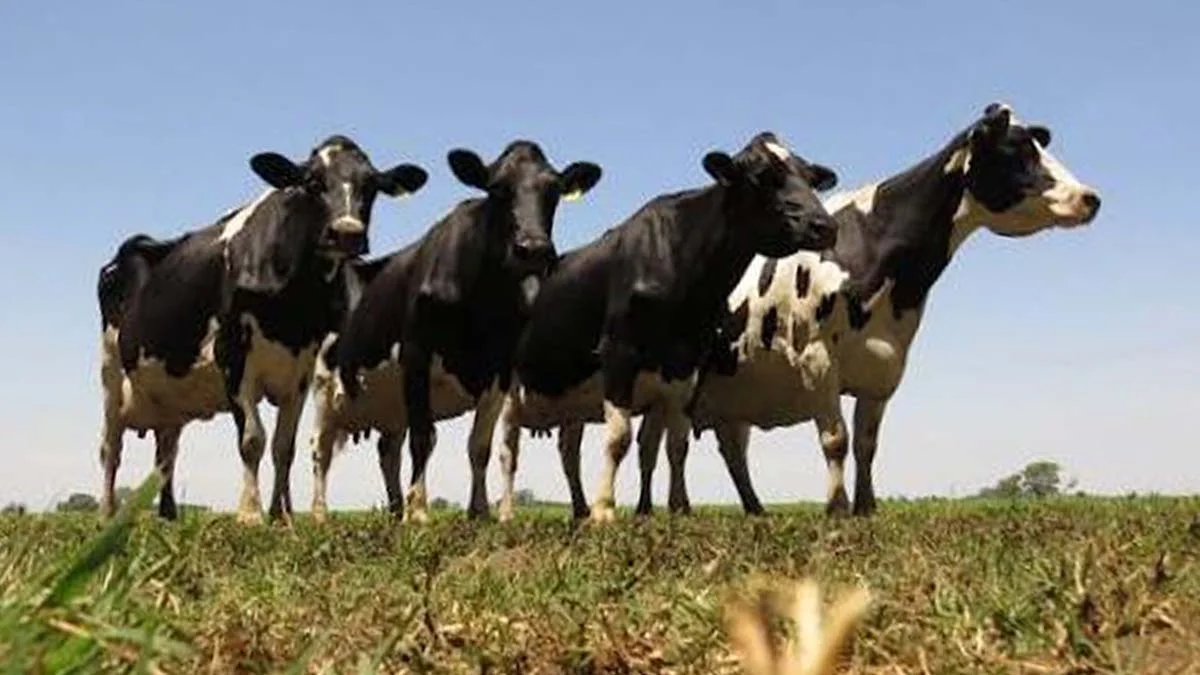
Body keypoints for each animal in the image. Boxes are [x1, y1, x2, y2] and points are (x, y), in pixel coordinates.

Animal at [96, 135, 428, 523]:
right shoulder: (232, 354)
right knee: (110, 447)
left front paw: (281, 516)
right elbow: (253, 439)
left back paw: (168, 514)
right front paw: (251, 514)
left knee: (166, 449)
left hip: (168, 390)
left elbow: (284, 446)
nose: (347, 232)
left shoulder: (301, 369)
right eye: (312, 182)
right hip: (110, 371)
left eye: (372, 185)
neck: (292, 308)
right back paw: (106, 513)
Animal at [306, 140, 602, 523]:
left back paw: (395, 511)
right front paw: (419, 512)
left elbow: (479, 446)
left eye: (554, 192)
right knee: (320, 450)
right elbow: (423, 438)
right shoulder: (416, 355)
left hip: (391, 406)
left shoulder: (500, 371)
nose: (533, 249)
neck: (482, 304)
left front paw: (479, 512)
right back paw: (321, 514)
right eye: (497, 189)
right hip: (323, 388)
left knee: (388, 451)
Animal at [494, 131, 841, 523]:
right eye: (761, 176)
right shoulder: (618, 352)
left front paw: (678, 508)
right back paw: (507, 512)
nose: (824, 226)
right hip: (508, 387)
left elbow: (676, 445)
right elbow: (618, 437)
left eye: (810, 177)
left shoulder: (685, 365)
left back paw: (579, 511)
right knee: (507, 450)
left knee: (568, 450)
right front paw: (605, 510)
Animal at [626, 102, 1103, 517]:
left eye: (1038, 144)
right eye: (1014, 150)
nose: (1090, 198)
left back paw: (750, 511)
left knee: (720, 447)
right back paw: (668, 509)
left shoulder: (884, 366)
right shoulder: (816, 357)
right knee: (663, 446)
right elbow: (835, 439)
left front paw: (866, 508)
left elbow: (866, 443)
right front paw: (836, 509)